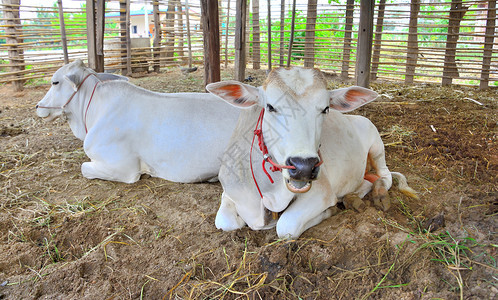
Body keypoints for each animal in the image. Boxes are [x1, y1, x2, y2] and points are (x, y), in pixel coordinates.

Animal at [206, 67, 416, 239]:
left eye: (326, 108)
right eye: (271, 107)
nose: (303, 167)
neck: (271, 191)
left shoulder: (322, 192)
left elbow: (286, 227)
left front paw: (329, 211)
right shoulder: (230, 191)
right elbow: (225, 223)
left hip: (376, 145)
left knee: (385, 176)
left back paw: (378, 194)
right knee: (365, 181)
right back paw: (351, 198)